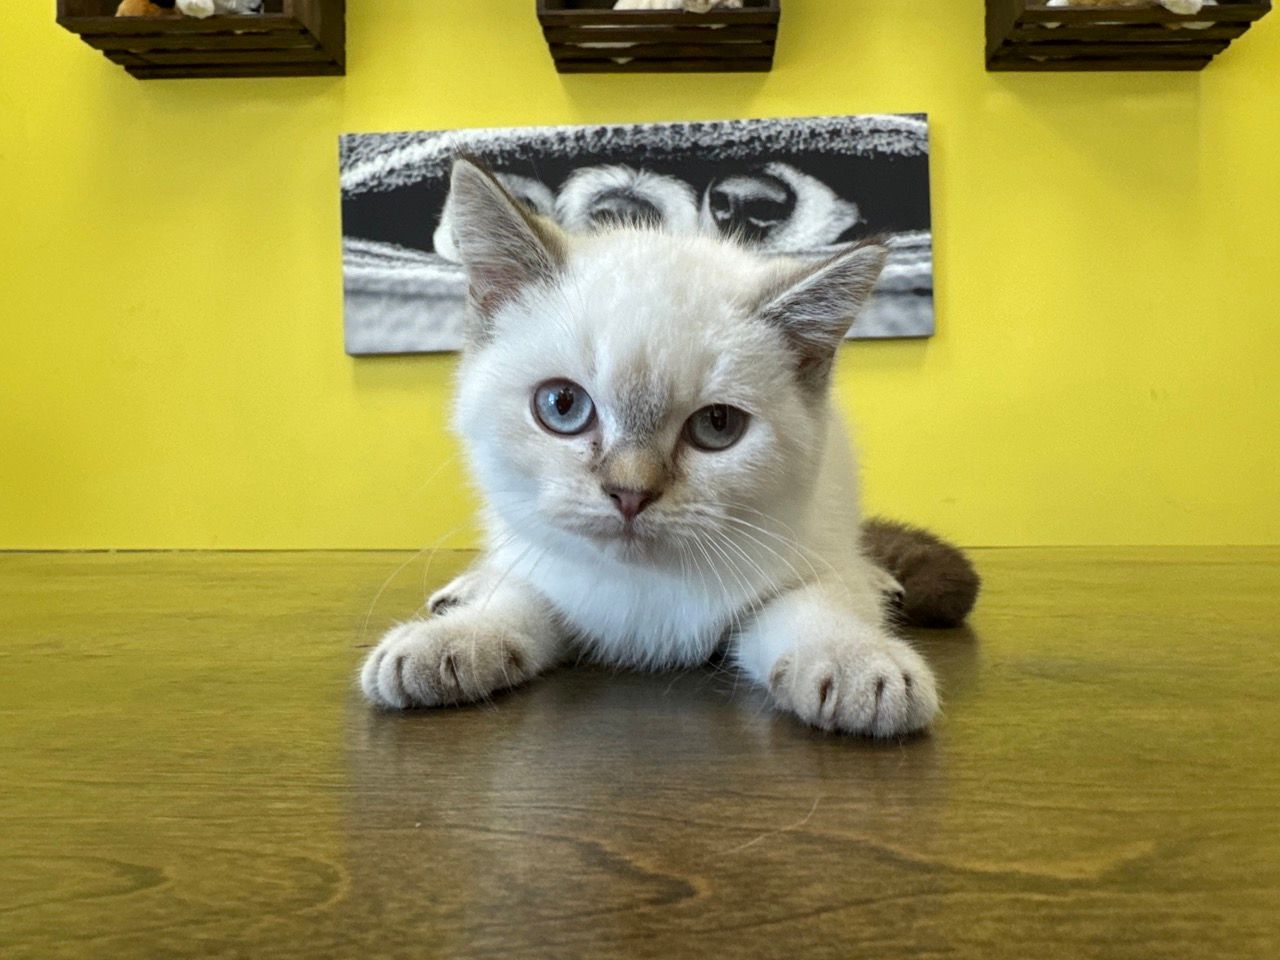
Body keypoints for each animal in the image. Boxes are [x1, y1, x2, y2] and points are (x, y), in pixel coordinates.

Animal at [355, 161, 962, 742]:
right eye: (562, 405)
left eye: (717, 425)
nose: (630, 493)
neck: (646, 590)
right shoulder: (554, 572)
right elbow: (519, 598)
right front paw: (450, 642)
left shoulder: (793, 560)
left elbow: (814, 604)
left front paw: (859, 666)